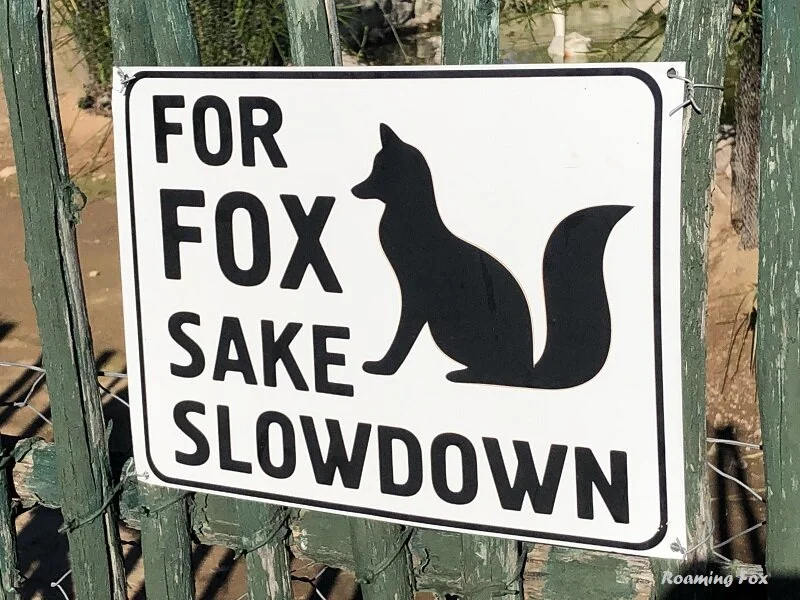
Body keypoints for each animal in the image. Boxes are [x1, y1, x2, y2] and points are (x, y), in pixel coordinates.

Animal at [351, 123, 632, 389]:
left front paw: (383, 368)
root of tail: (529, 372)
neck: (409, 215)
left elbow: (402, 337)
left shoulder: (415, 296)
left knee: (499, 374)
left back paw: (462, 375)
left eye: (380, 170)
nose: (354, 189)